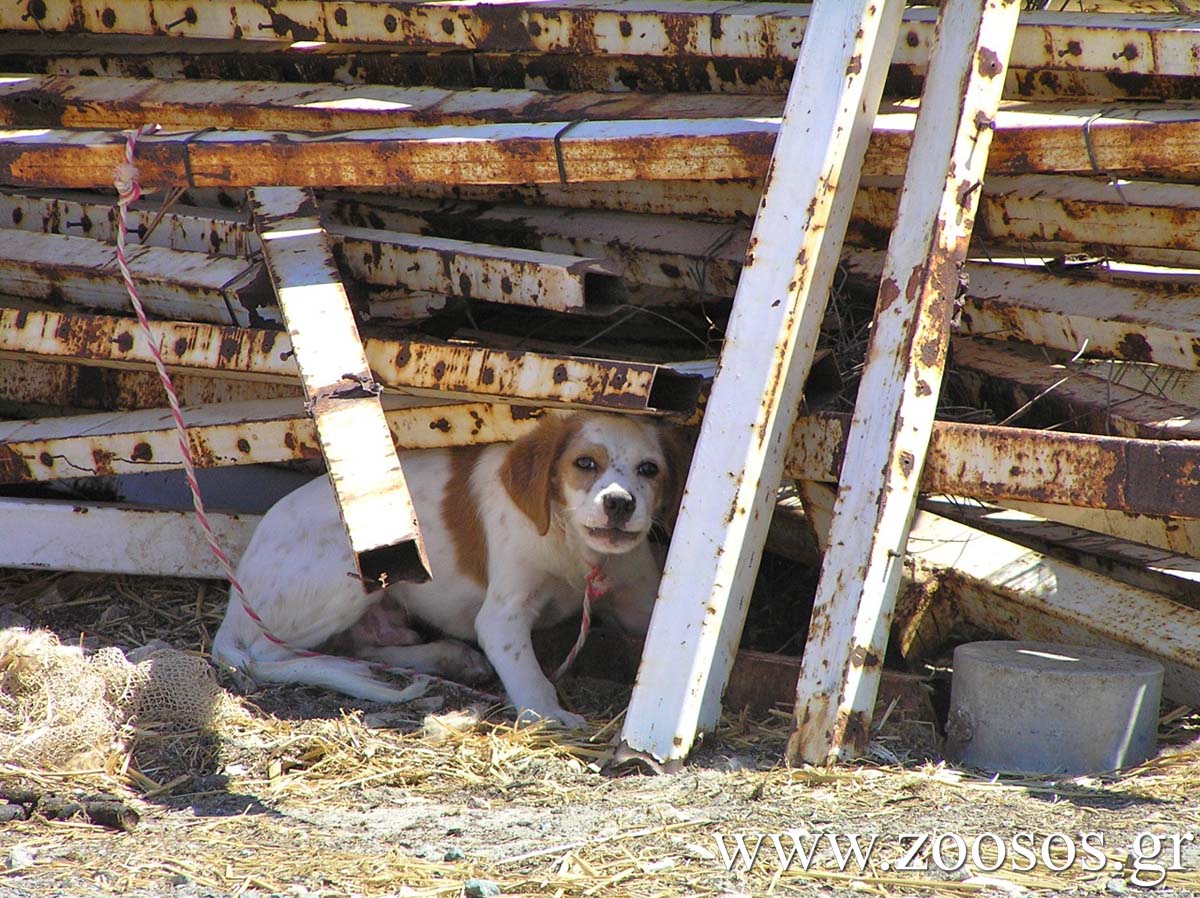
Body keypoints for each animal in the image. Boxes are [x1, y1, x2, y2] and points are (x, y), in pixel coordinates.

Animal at [211, 410, 691, 725]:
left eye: (649, 470)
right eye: (584, 463)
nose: (619, 503)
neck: (575, 548)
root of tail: (235, 596)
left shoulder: (638, 599)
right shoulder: (503, 615)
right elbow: (528, 672)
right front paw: (549, 713)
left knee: (363, 644)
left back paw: (447, 656)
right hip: (351, 571)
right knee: (269, 652)